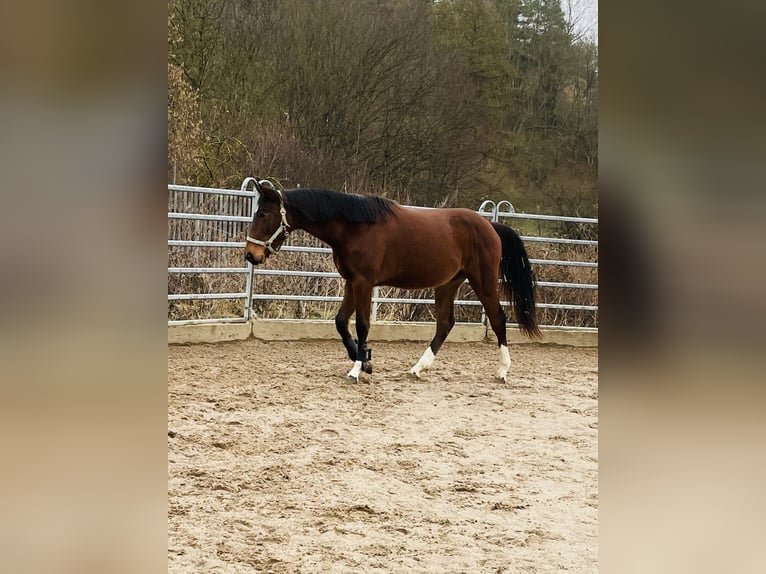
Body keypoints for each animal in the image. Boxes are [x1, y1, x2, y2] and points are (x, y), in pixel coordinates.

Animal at [243, 180, 544, 382]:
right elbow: (341, 322)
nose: (250, 254)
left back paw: (502, 370)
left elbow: (362, 325)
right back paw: (418, 368)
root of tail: (490, 226)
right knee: (445, 324)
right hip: (448, 283)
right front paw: (365, 360)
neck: (355, 227)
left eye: (264, 214)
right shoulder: (351, 282)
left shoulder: (364, 283)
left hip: (482, 281)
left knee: (497, 319)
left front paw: (358, 367)